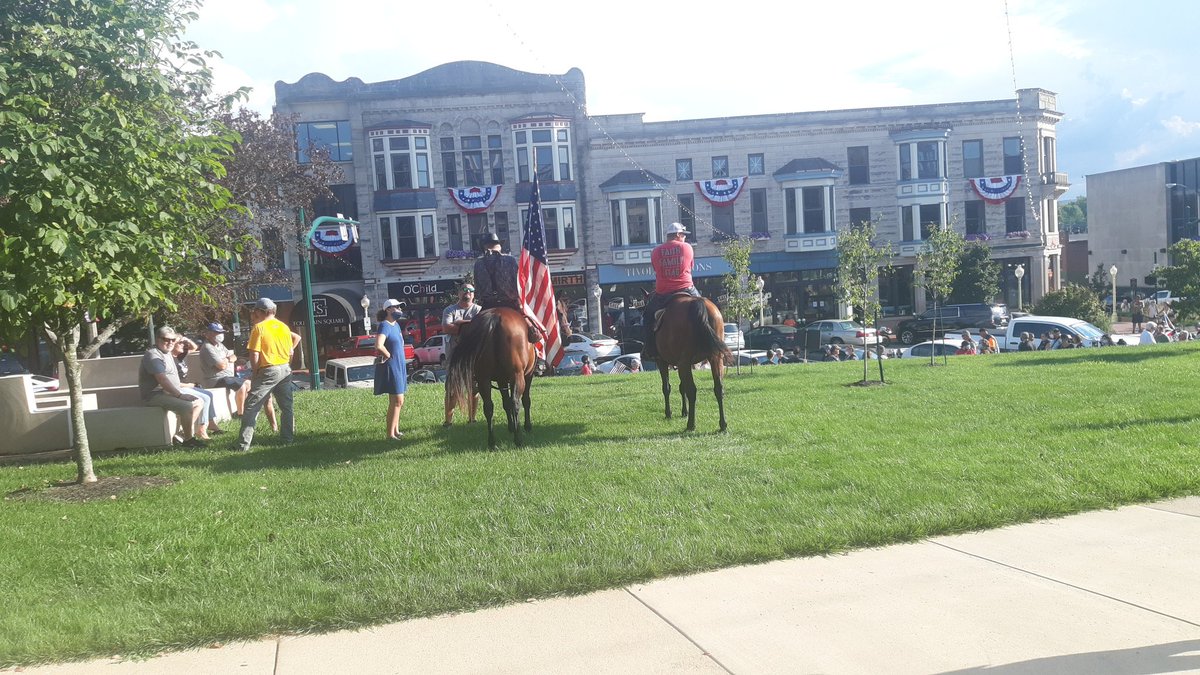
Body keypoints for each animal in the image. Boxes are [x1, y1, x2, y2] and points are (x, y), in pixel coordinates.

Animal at [652, 294, 724, 429]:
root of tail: (698, 302)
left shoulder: (662, 362)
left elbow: (666, 387)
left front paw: (669, 413)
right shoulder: (686, 364)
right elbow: (682, 387)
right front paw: (684, 412)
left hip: (683, 363)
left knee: (692, 391)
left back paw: (691, 424)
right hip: (715, 358)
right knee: (718, 388)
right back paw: (723, 425)